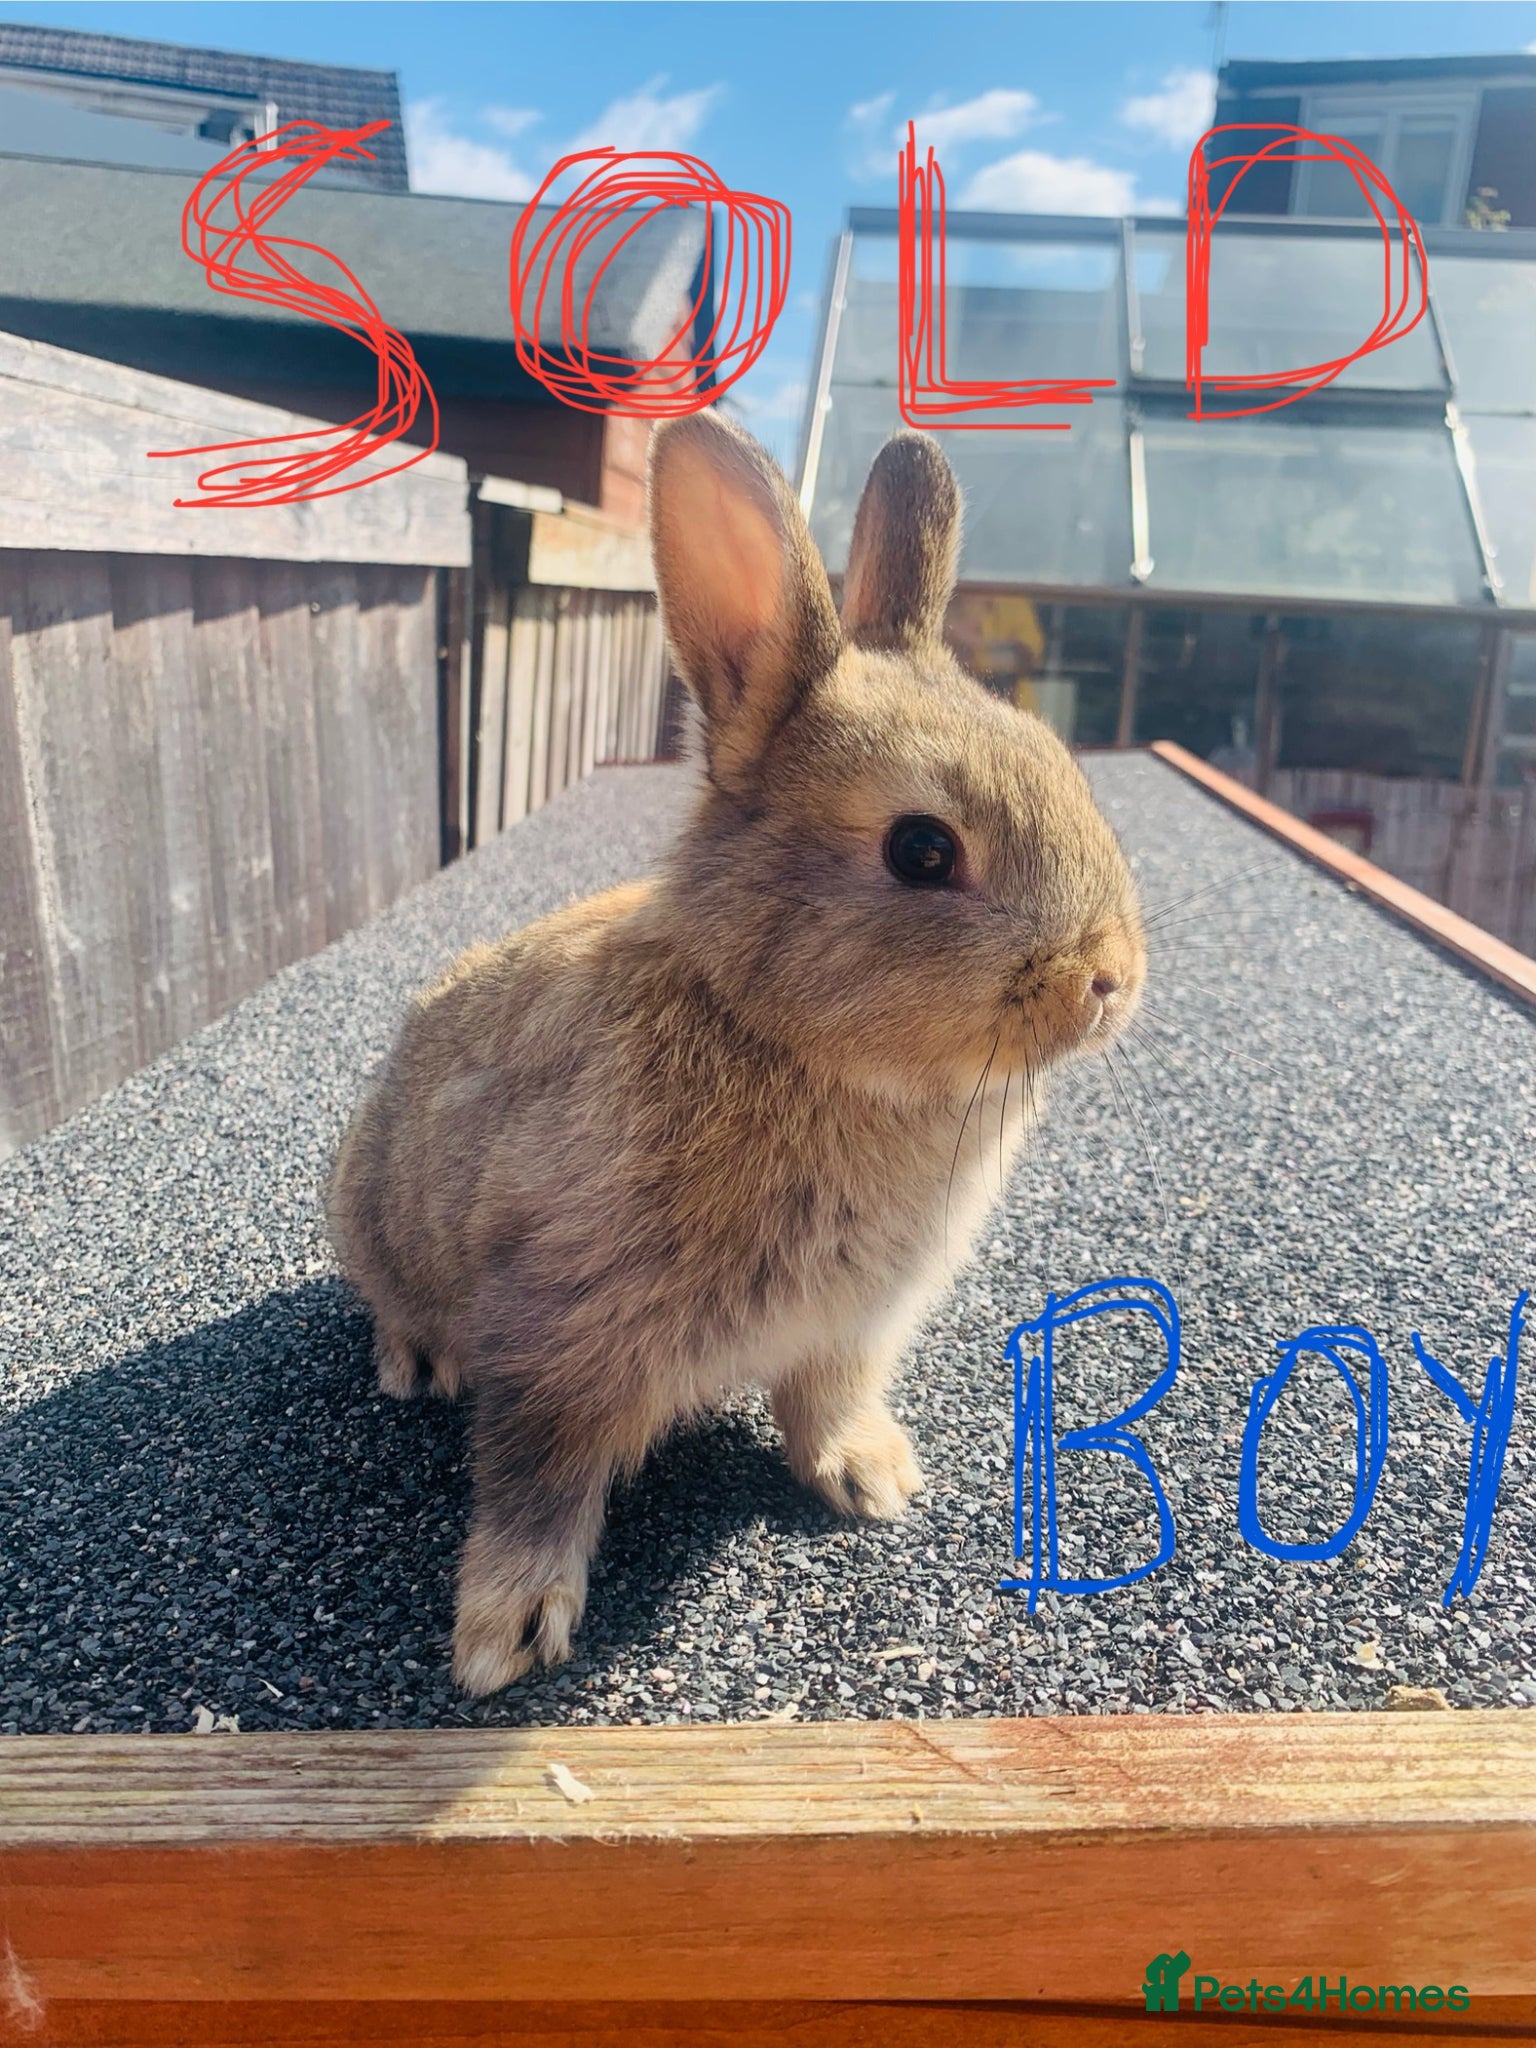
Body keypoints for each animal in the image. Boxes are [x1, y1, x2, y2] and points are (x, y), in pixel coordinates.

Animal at [327, 411, 1147, 1696]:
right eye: (921, 849)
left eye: (1061, 762)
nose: (1109, 979)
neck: (782, 1033)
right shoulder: (557, 1334)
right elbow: (534, 1480)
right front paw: (505, 1630)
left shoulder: (851, 1327)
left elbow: (826, 1402)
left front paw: (872, 1476)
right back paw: (416, 1361)